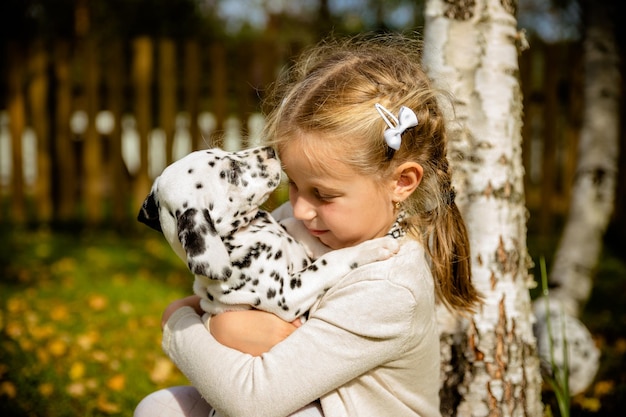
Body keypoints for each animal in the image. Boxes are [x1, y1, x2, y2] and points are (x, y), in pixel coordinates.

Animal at [138, 146, 398, 322]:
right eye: (231, 172)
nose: (271, 150)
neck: (249, 229)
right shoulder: (287, 294)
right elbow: (329, 261)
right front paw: (372, 246)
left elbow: (297, 226)